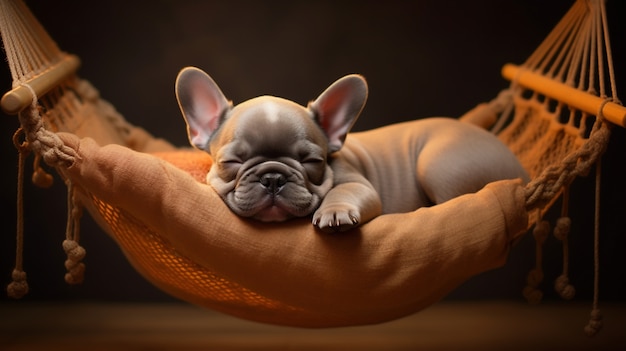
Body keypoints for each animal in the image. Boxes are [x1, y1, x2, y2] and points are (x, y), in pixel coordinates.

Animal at [174, 69, 528, 234]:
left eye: (312, 161)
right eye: (231, 161)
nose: (273, 178)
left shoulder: (357, 183)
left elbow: (343, 192)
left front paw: (335, 213)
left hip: (437, 164)